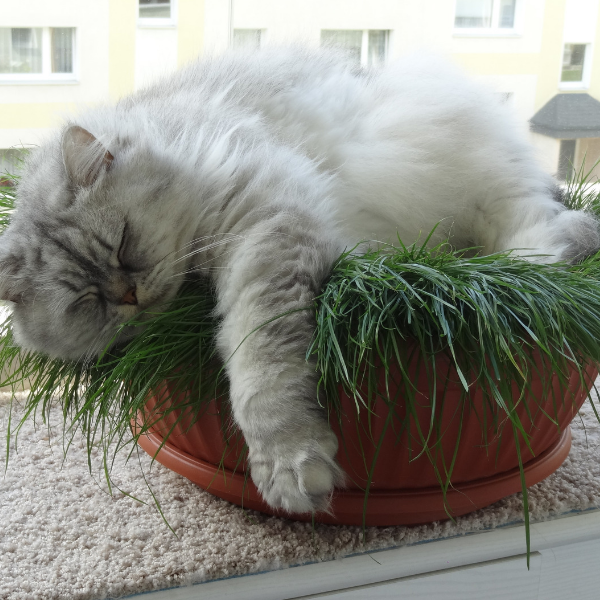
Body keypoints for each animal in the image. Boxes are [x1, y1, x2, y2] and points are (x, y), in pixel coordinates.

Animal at [2, 48, 596, 516]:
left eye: (124, 244)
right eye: (86, 300)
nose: (129, 297)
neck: (177, 134)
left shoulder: (267, 226)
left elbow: (260, 372)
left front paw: (288, 465)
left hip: (457, 165)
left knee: (533, 231)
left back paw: (556, 256)